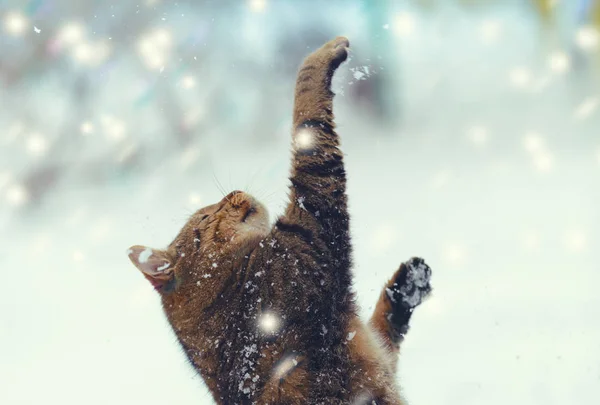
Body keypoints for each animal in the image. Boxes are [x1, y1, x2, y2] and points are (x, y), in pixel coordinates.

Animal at [126, 36, 432, 402]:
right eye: (206, 214)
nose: (233, 191)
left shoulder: (369, 347)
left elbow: (383, 333)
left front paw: (407, 287)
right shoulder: (311, 223)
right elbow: (307, 110)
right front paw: (324, 53)